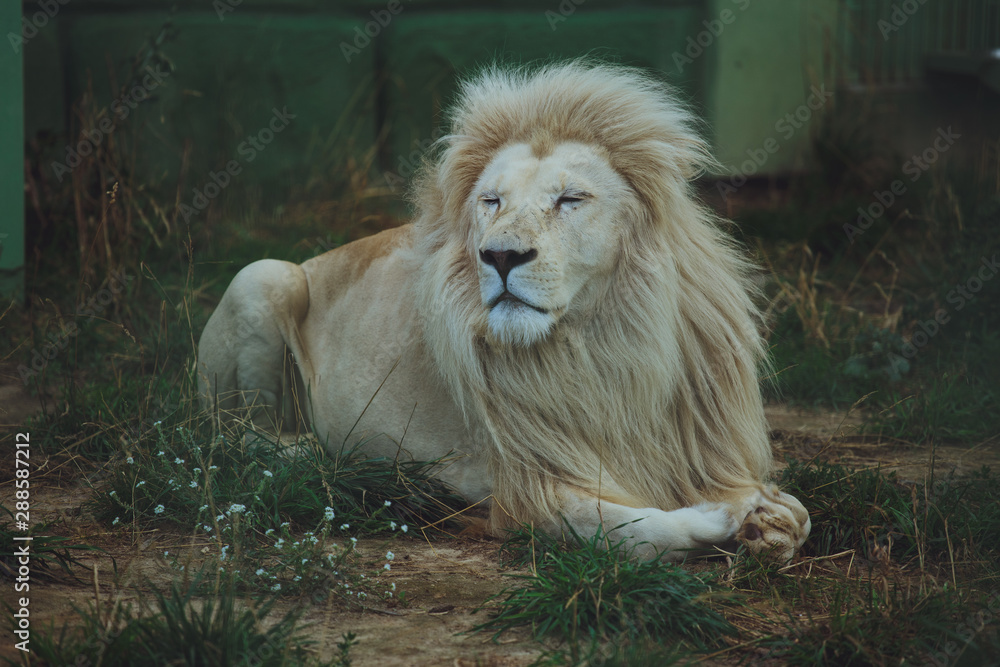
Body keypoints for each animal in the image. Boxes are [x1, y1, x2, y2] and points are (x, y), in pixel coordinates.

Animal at [197, 60, 811, 561]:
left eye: (570, 200)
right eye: (491, 201)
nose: (500, 255)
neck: (606, 349)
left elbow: (796, 516)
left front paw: (768, 517)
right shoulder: (523, 482)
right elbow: (625, 529)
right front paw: (726, 518)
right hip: (260, 276)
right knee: (234, 436)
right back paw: (322, 456)